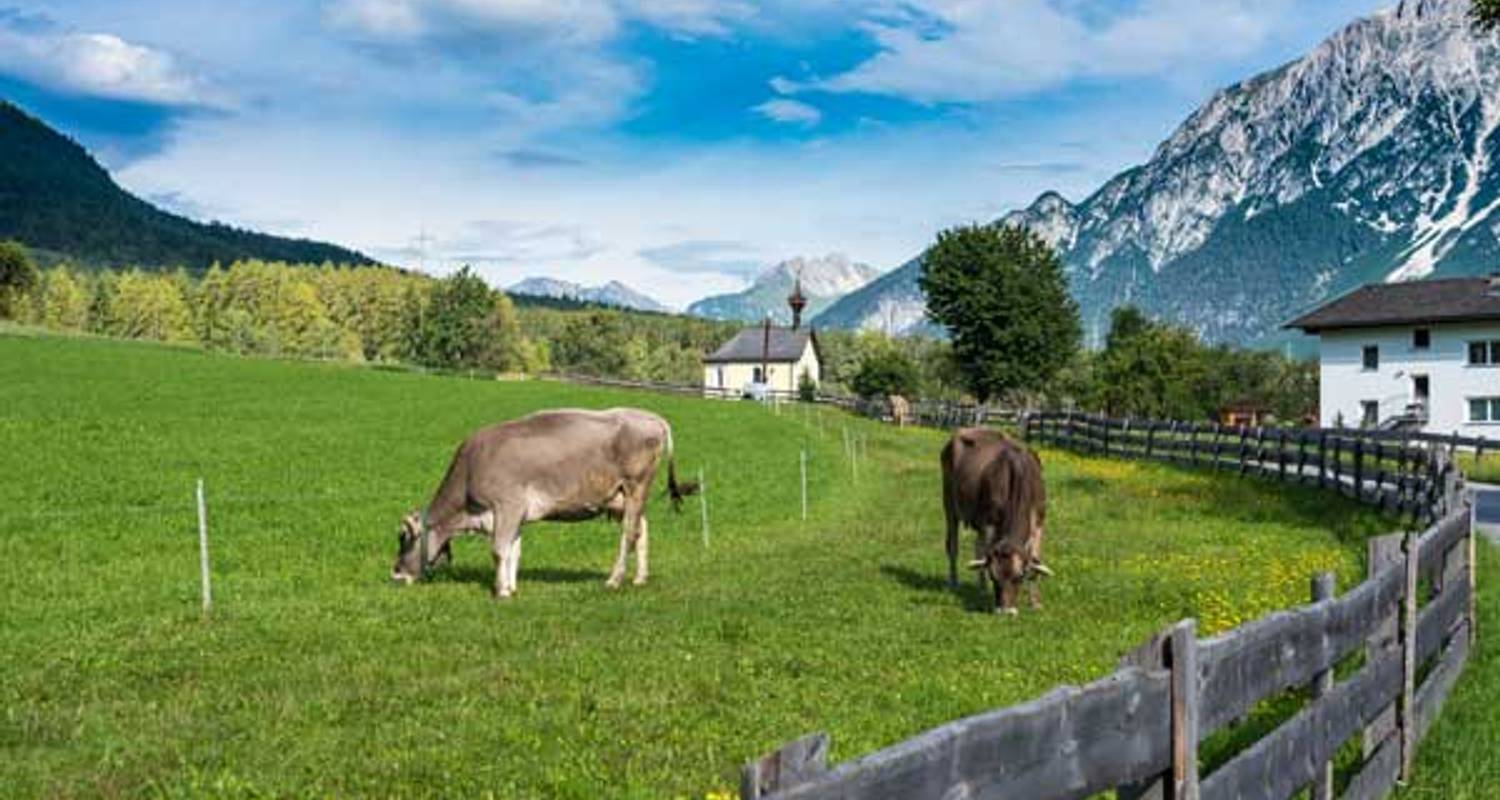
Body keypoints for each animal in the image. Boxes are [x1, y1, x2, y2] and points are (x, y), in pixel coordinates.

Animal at [393, 405, 696, 600]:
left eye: (403, 538)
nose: (395, 575)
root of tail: (652, 417)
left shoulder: (507, 505)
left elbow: (499, 550)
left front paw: (500, 591)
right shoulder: (514, 514)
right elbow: (513, 551)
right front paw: (511, 587)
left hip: (635, 485)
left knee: (629, 533)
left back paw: (614, 580)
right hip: (620, 497)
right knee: (641, 528)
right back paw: (640, 578)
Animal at [936, 426, 1056, 615]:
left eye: (1019, 576)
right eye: (994, 577)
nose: (1005, 612)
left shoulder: (1038, 523)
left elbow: (1036, 560)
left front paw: (1035, 602)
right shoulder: (989, 523)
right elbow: (985, 554)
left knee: (977, 546)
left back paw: (980, 587)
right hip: (949, 501)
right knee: (953, 544)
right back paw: (955, 582)